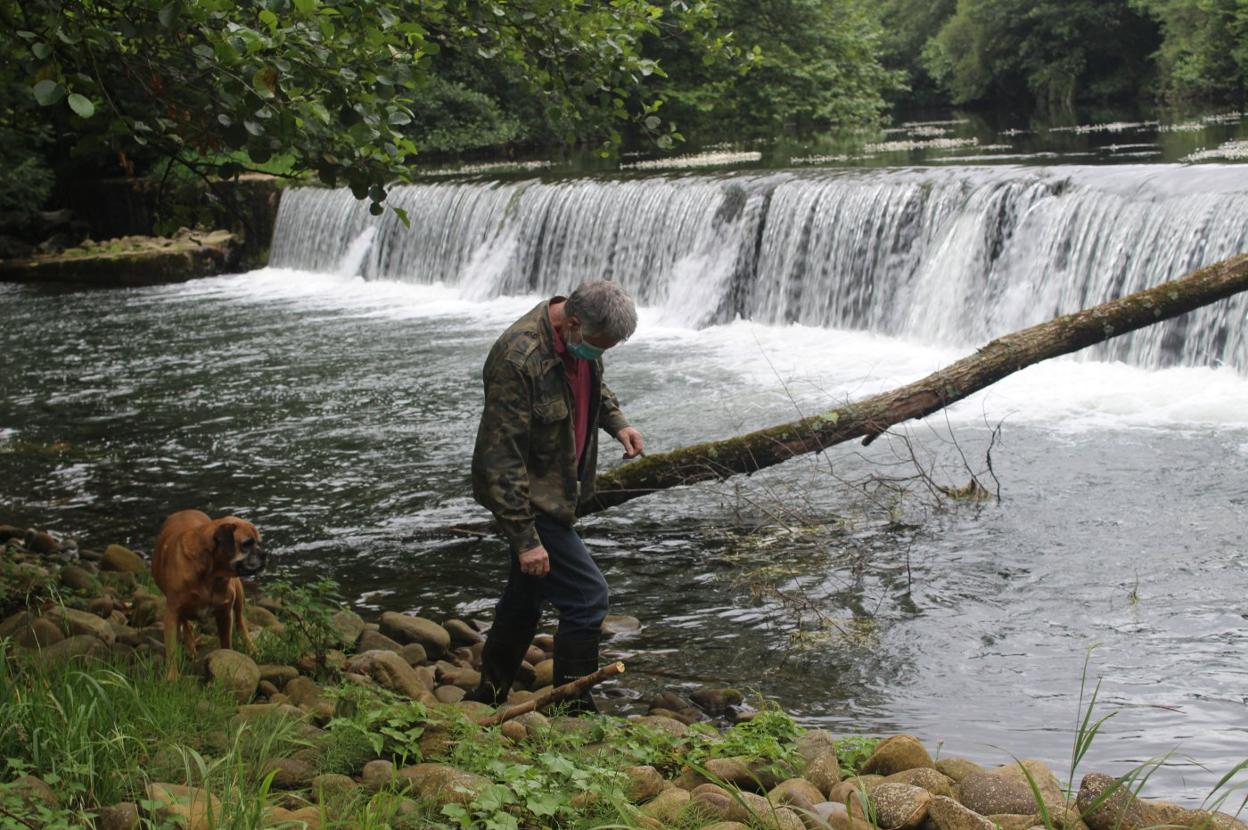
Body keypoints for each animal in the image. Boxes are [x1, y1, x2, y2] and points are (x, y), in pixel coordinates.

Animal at [152, 509, 267, 678]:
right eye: (246, 543)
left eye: (258, 542)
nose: (265, 554)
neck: (211, 574)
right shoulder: (171, 613)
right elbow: (172, 648)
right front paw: (172, 676)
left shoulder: (225, 613)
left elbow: (226, 643)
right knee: (185, 623)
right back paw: (190, 647)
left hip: (238, 591)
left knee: (240, 620)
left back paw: (250, 647)